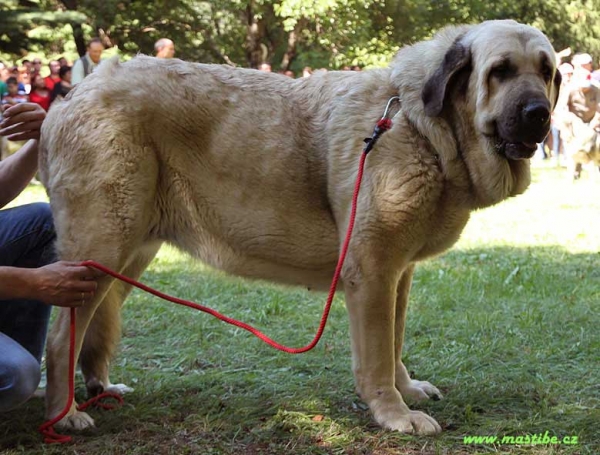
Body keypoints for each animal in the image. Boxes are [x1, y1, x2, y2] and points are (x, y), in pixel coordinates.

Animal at [39, 20, 560, 434]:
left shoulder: (398, 274)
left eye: (548, 72)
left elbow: (394, 341)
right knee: (61, 337)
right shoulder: (372, 273)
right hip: (99, 250)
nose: (540, 114)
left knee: (95, 327)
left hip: (129, 256)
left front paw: (406, 389)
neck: (424, 128)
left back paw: (100, 387)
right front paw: (394, 414)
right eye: (500, 71)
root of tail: (72, 95)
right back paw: (66, 414)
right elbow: (377, 355)